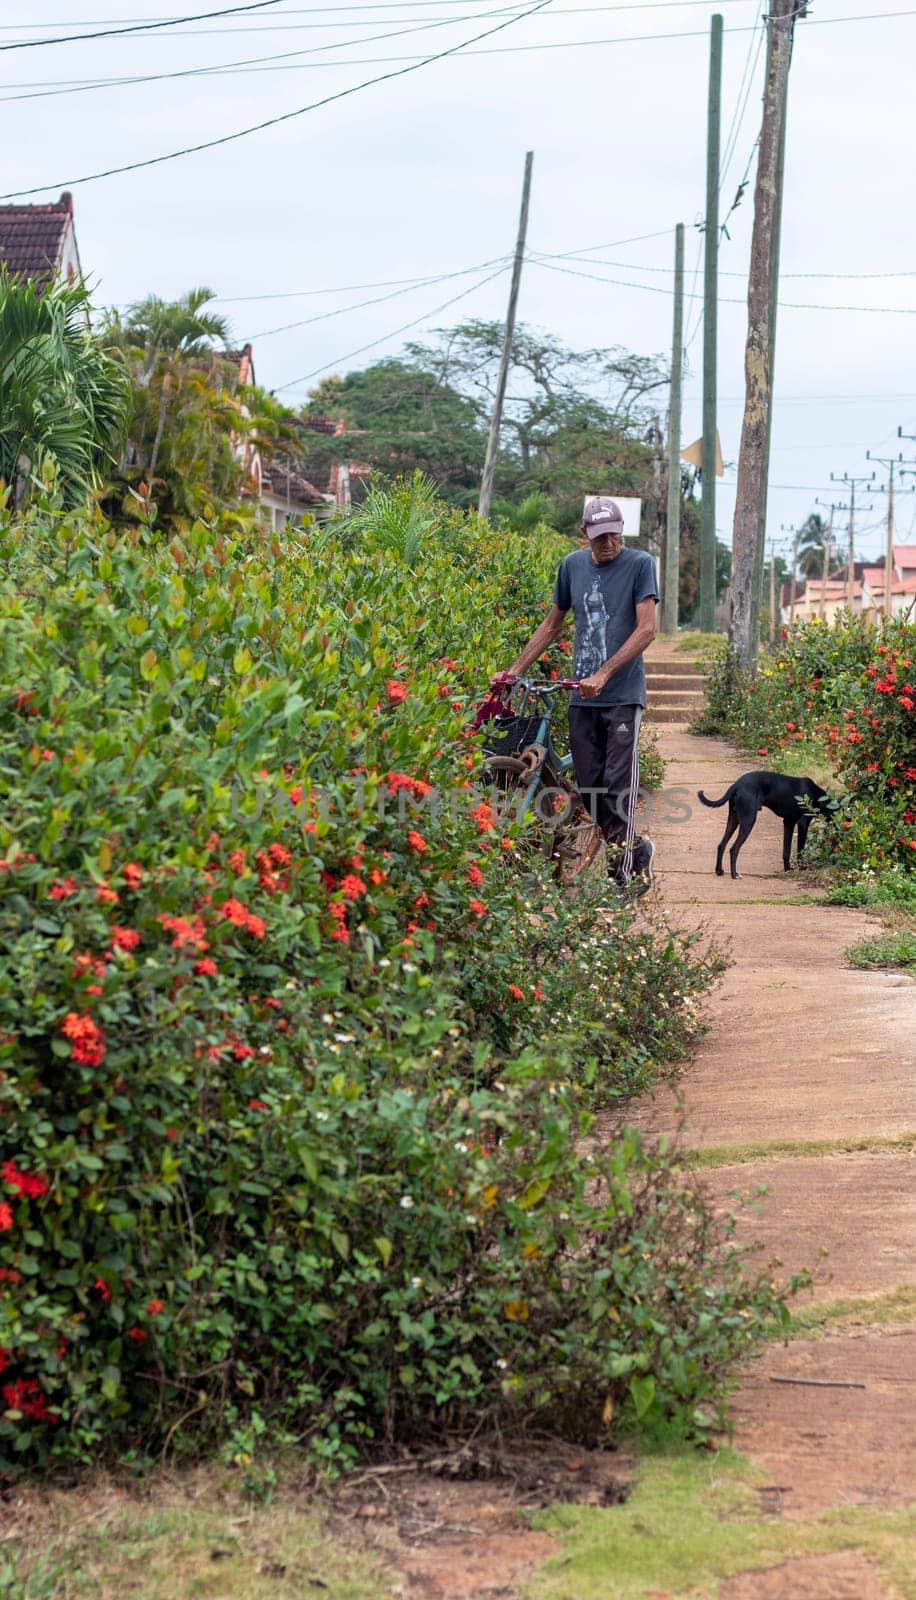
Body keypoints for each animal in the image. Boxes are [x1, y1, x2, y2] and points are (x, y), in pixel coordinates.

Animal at [695, 771, 839, 883]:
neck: (817, 795)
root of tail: (736, 785)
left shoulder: (788, 822)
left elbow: (786, 850)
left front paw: (788, 869)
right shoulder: (802, 824)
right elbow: (800, 850)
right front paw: (802, 868)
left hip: (734, 819)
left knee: (721, 845)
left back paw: (719, 870)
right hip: (748, 821)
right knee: (733, 848)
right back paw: (735, 875)